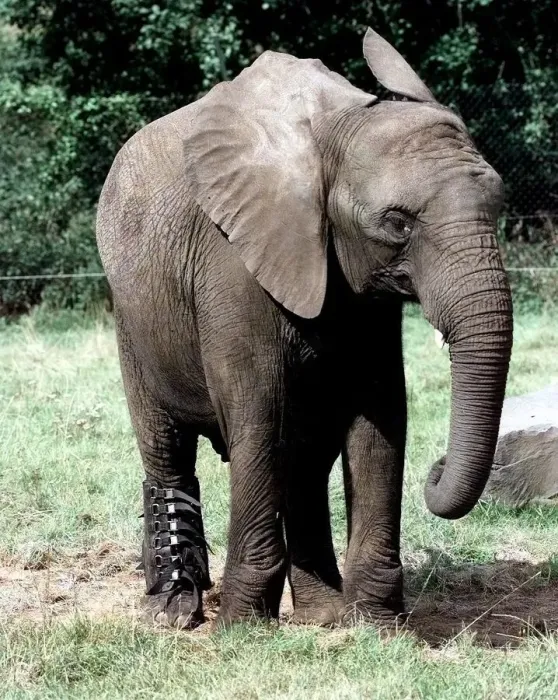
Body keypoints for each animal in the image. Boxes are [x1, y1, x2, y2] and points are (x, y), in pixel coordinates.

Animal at [96, 27, 513, 629]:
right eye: (396, 223)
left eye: (500, 204)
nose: (434, 477)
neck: (340, 125)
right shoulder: (233, 261)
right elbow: (260, 415)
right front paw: (242, 628)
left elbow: (380, 415)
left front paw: (378, 625)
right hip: (131, 314)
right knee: (167, 443)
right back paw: (175, 608)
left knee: (304, 458)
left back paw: (323, 612)